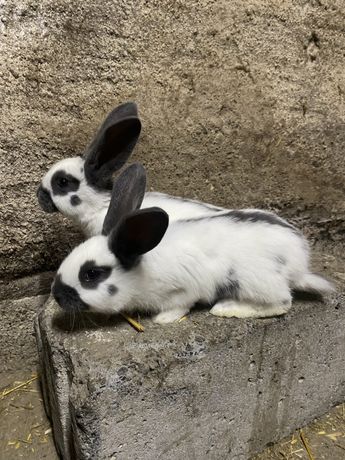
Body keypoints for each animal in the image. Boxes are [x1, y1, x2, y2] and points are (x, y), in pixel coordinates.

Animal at [51, 164, 334, 326]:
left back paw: (227, 308)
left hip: (256, 281)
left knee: (282, 303)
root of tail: (299, 266)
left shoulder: (183, 289)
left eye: (91, 274)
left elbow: (181, 304)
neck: (140, 269)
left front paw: (163, 319)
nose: (57, 295)